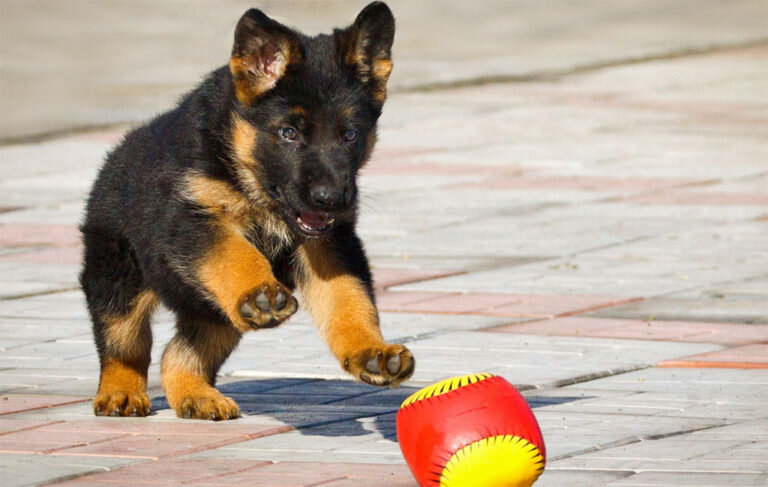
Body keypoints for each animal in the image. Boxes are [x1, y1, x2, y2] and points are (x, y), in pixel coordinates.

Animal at [79, 1, 414, 422]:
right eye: (289, 133)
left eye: (350, 135)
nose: (331, 199)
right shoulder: (193, 221)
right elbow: (236, 253)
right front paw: (260, 293)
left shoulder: (329, 242)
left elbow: (348, 298)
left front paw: (370, 351)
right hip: (118, 276)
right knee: (124, 344)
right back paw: (120, 392)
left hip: (213, 311)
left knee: (178, 354)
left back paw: (197, 395)